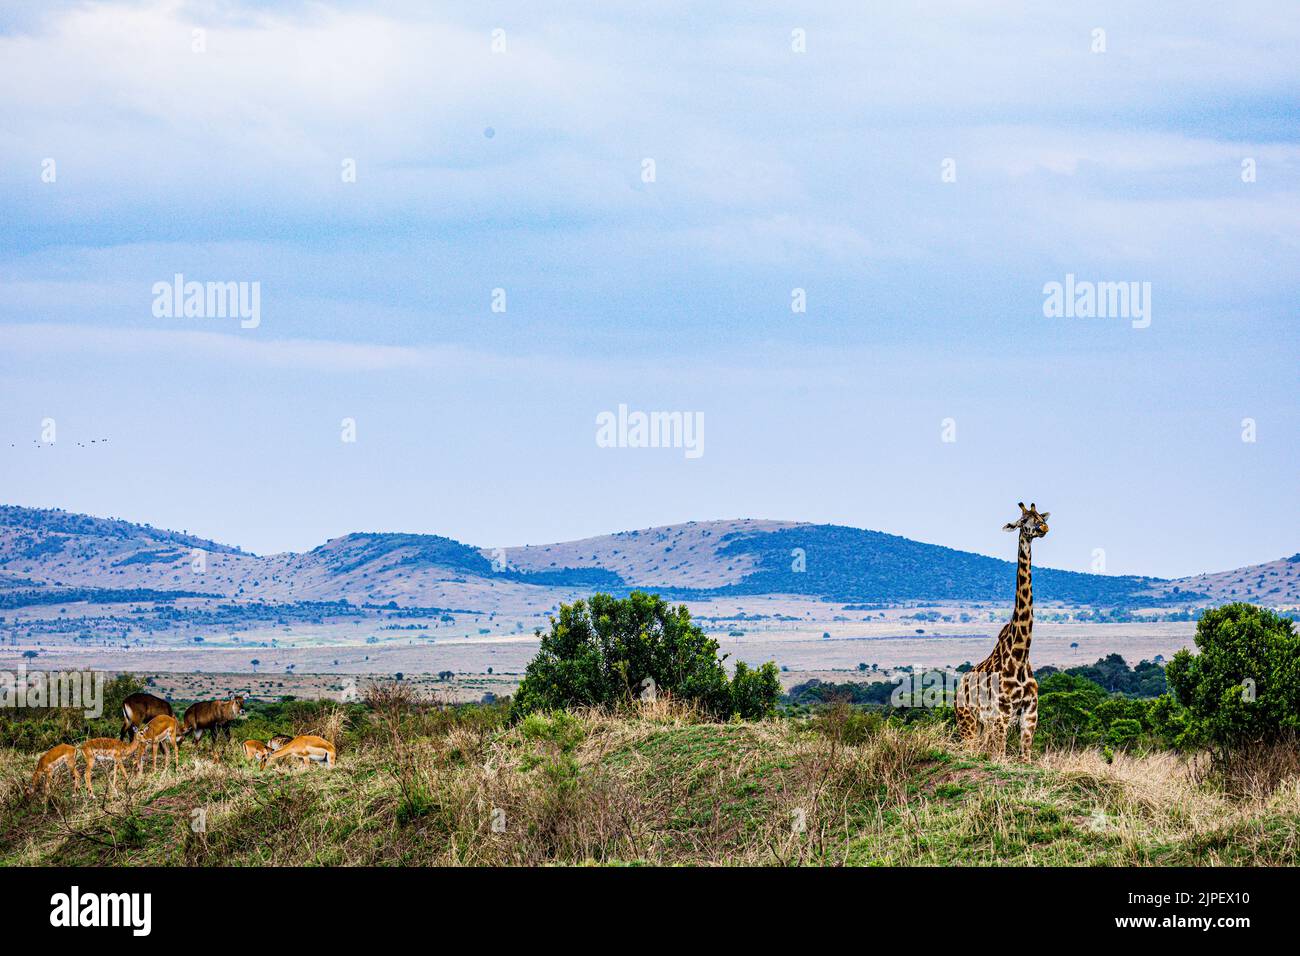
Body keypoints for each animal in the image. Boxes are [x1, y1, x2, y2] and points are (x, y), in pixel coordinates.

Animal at [954, 502, 1049, 759]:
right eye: (1023, 520)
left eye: (1040, 516)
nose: (1043, 528)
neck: (1020, 657)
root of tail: (957, 688)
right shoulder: (1002, 714)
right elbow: (1000, 756)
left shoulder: (1030, 713)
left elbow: (1025, 757)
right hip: (966, 720)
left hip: (980, 724)